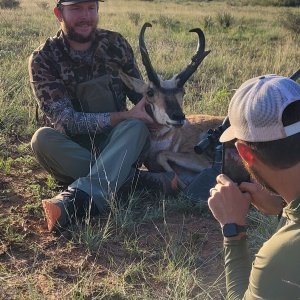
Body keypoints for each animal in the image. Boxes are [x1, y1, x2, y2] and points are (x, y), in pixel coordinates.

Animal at [118, 23, 224, 188]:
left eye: (183, 91)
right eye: (149, 92)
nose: (178, 116)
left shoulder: (202, 162)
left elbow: (162, 155)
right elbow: (162, 157)